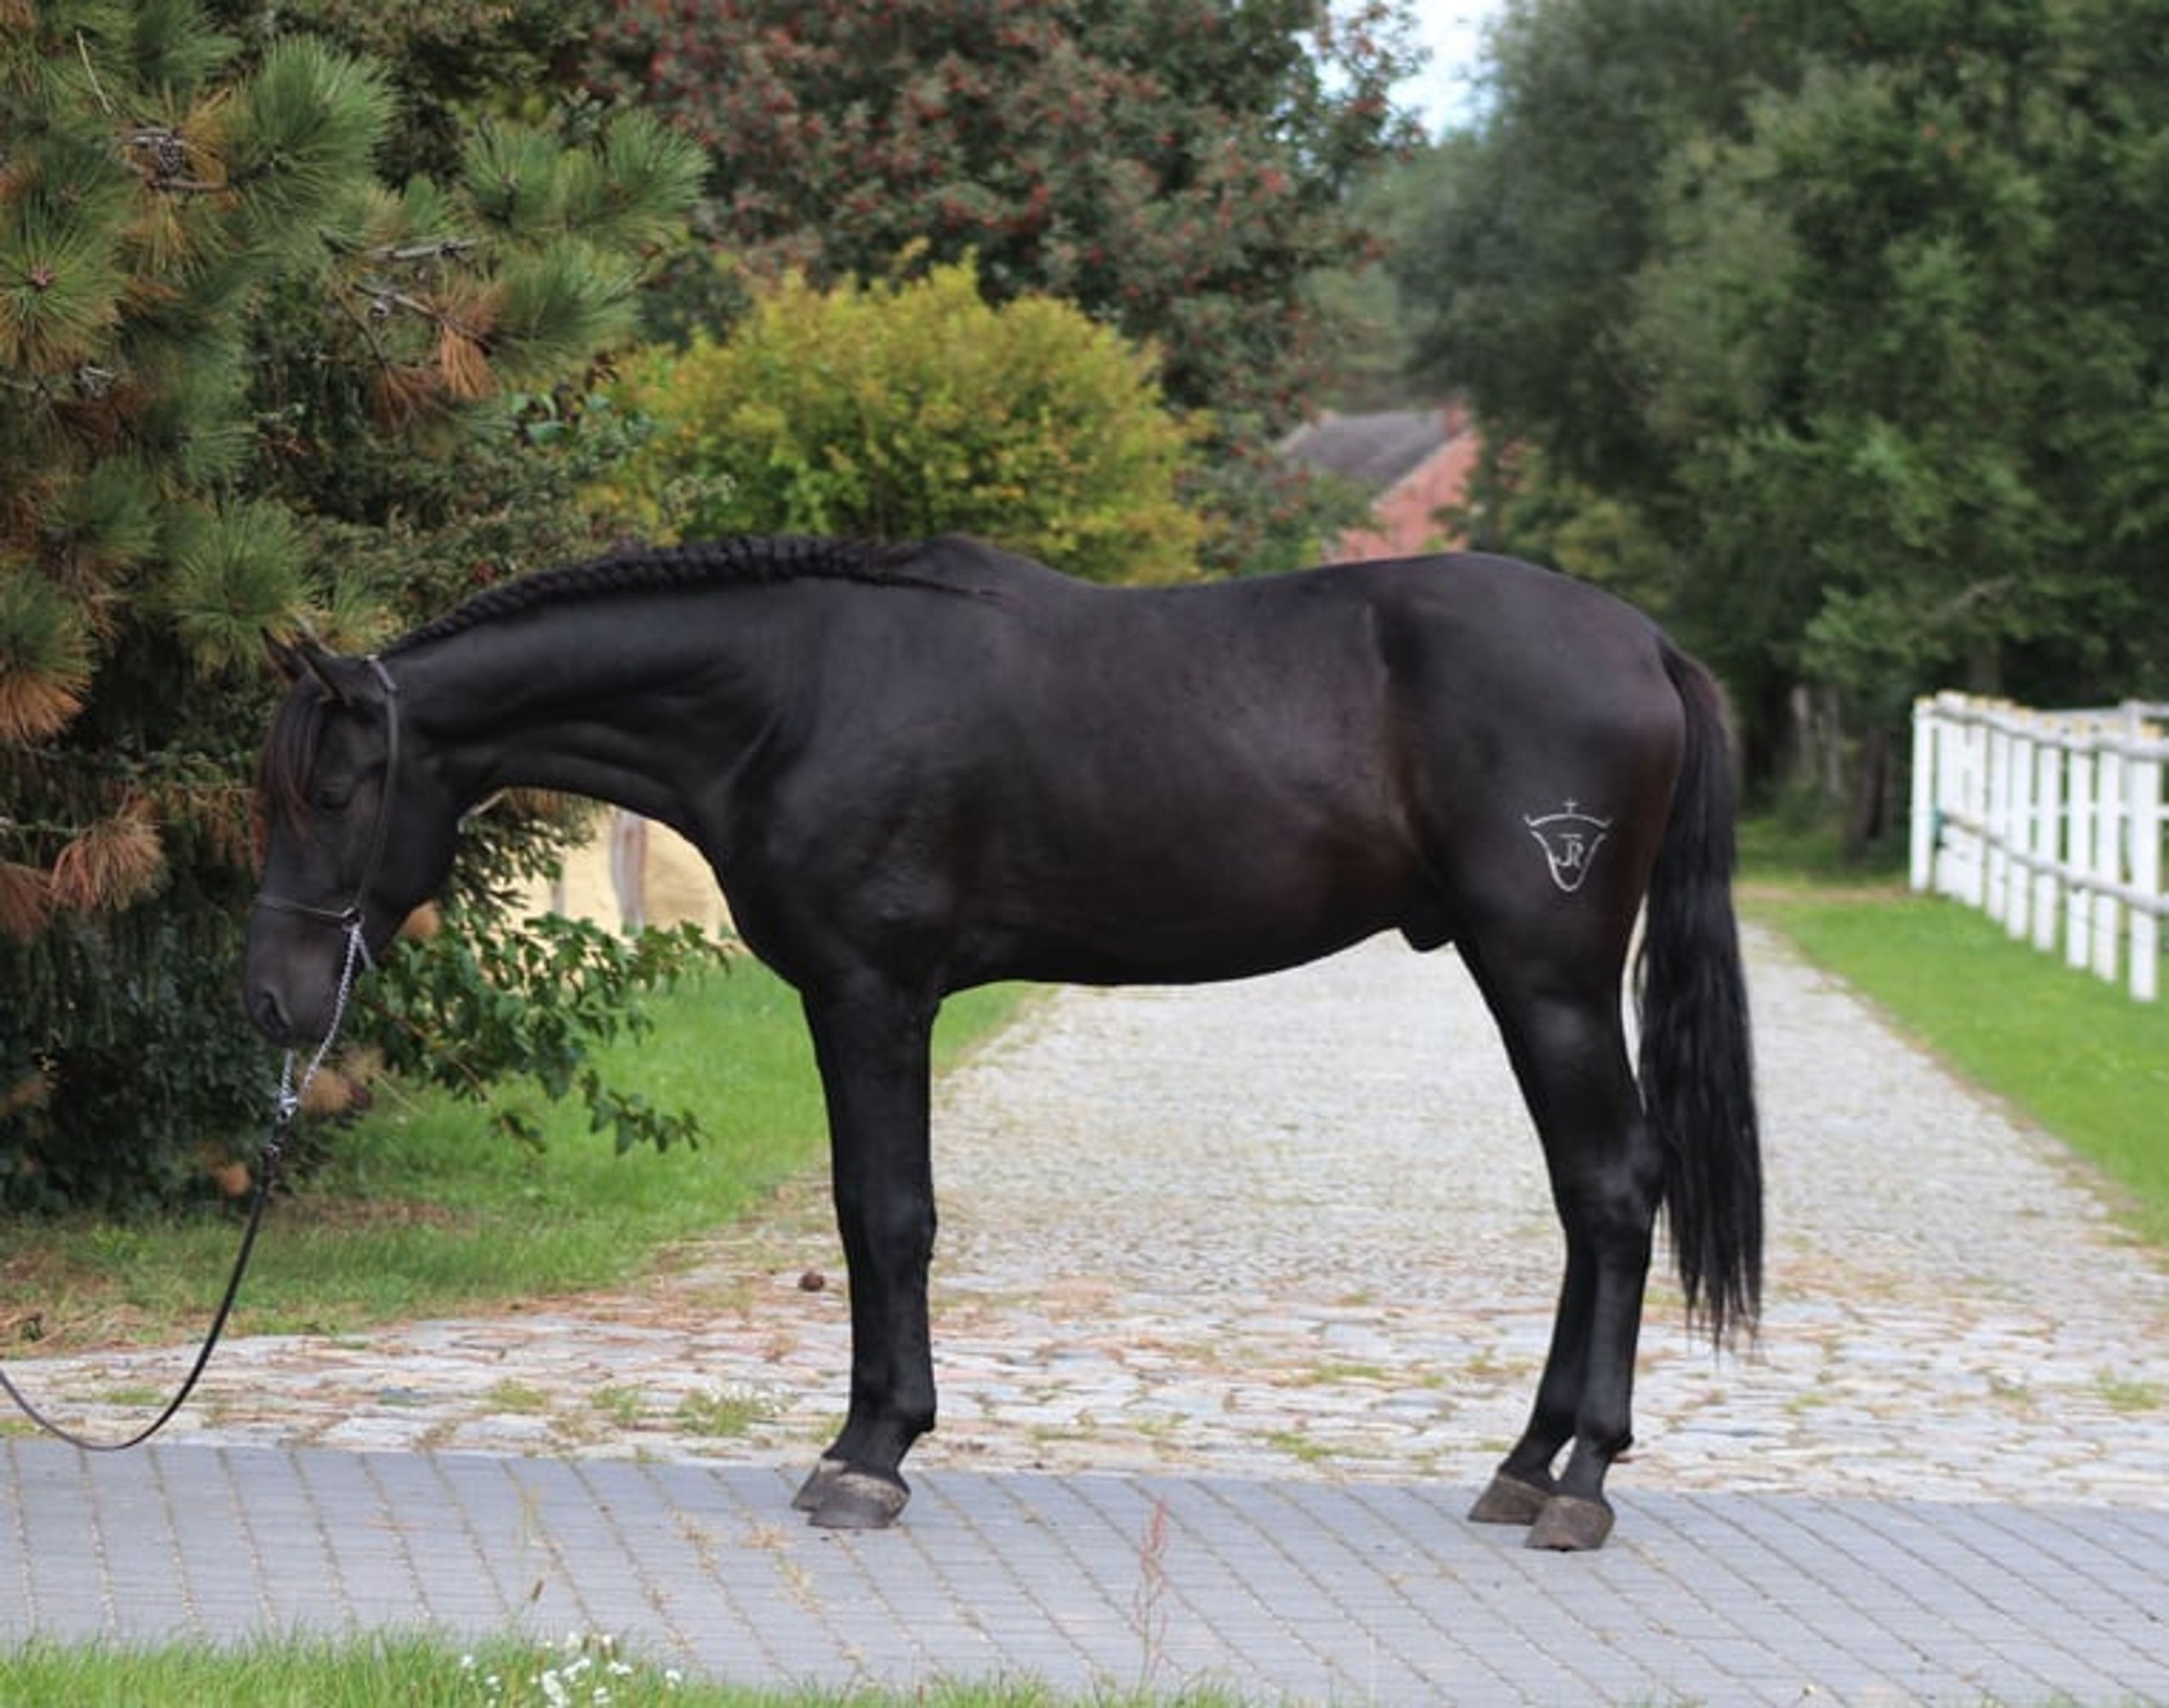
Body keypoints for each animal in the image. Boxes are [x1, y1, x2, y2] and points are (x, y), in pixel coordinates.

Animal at [244, 533, 1760, 1552]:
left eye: (336, 789)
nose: (275, 1001)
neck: (797, 692)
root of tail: (1645, 645)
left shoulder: (872, 995)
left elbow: (885, 1215)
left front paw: (867, 1458)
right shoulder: (857, 1001)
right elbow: (871, 1215)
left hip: (1548, 977)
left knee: (1614, 1190)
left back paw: (1578, 1483)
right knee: (1584, 1203)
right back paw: (1524, 1466)